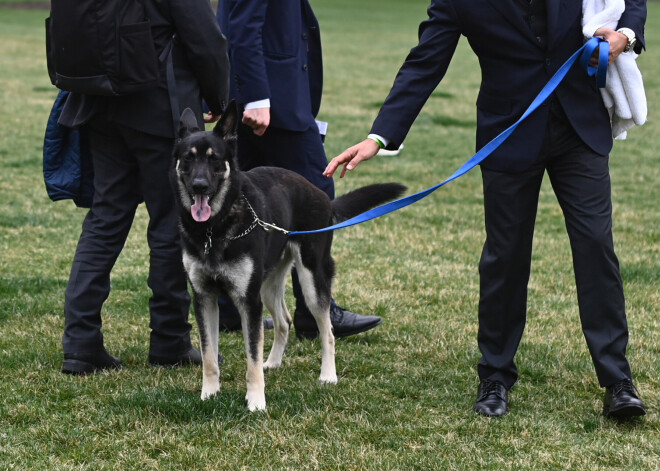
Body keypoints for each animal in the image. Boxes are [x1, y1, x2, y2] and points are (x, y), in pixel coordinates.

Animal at [170, 102, 408, 410]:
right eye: (188, 158)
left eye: (214, 160)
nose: (199, 186)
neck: (215, 228)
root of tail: (323, 196)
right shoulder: (204, 297)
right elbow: (210, 356)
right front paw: (208, 394)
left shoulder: (249, 301)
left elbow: (252, 358)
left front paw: (256, 402)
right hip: (268, 284)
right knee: (284, 321)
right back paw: (274, 363)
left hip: (311, 279)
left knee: (327, 331)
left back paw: (328, 376)